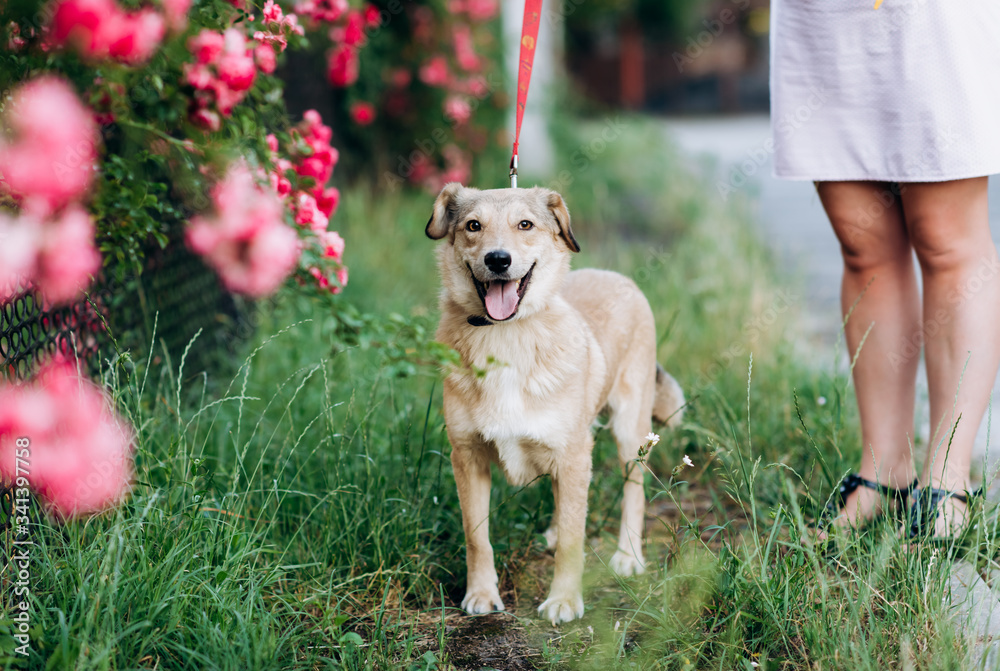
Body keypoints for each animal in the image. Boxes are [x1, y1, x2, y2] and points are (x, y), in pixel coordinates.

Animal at [426, 184, 684, 624]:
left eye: (525, 224)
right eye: (473, 226)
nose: (498, 260)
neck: (506, 335)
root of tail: (616, 276)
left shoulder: (575, 454)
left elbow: (572, 541)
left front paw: (564, 600)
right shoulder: (468, 456)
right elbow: (477, 537)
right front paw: (482, 593)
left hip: (628, 432)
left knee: (633, 490)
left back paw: (628, 555)